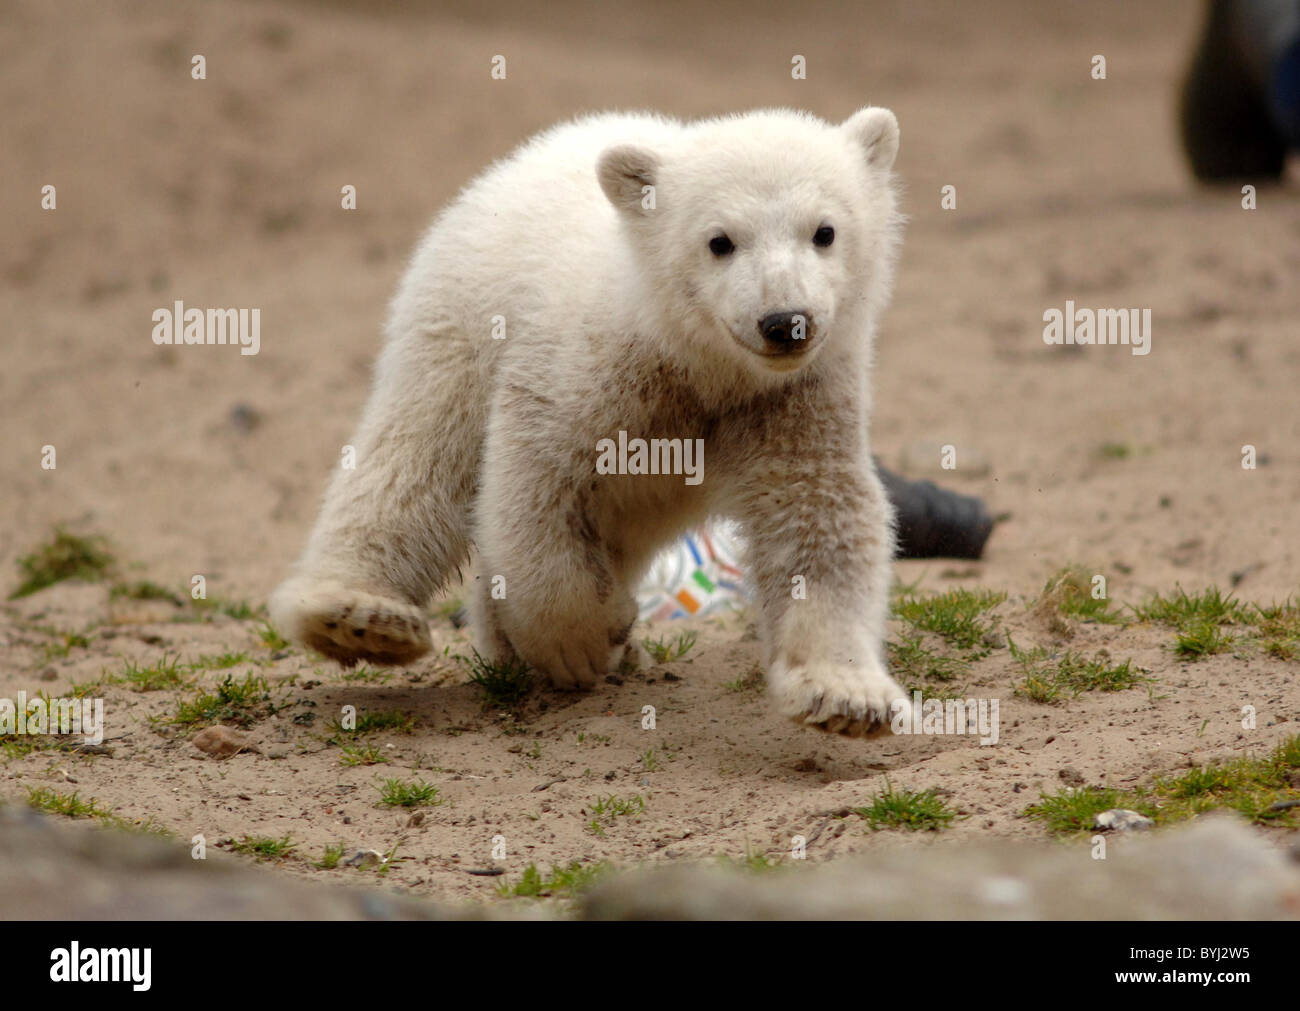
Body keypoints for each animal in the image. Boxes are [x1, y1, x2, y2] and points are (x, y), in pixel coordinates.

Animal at [270, 107, 910, 737]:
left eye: (824, 231)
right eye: (719, 241)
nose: (785, 322)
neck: (694, 359)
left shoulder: (796, 397)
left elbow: (818, 515)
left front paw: (848, 696)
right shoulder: (587, 366)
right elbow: (535, 483)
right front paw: (578, 642)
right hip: (458, 319)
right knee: (416, 458)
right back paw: (360, 615)